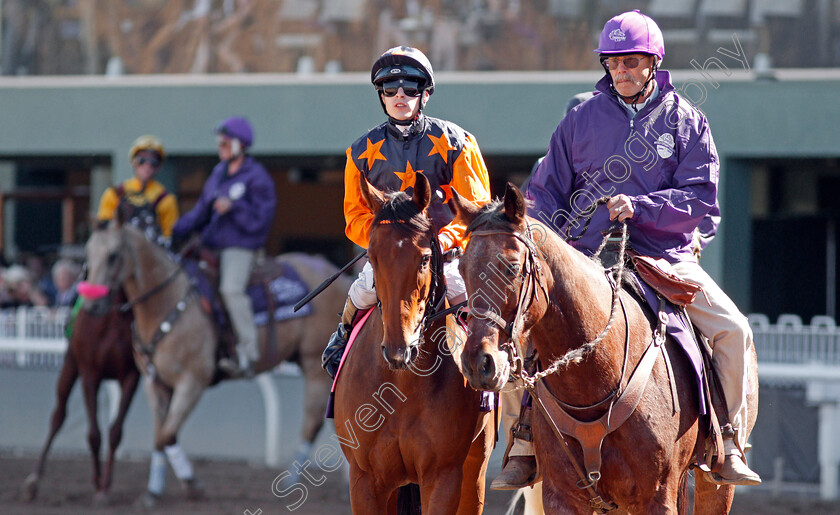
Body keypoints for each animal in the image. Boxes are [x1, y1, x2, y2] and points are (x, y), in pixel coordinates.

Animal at [20, 298, 139, 504]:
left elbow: (115, 432)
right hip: (70, 364)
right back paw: (33, 481)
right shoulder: (89, 372)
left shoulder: (132, 375)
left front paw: (104, 485)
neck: (112, 316)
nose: (94, 305)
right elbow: (94, 435)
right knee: (58, 416)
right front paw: (98, 483)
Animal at [80, 213, 350, 508]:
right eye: (88, 254)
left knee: (313, 424)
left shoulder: (192, 382)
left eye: (113, 255)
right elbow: (161, 437)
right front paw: (154, 491)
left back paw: (291, 483)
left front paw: (192, 485)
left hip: (314, 366)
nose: (92, 306)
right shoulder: (156, 384)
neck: (168, 302)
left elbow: (166, 435)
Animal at [332, 174, 496, 515]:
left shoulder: (444, 475)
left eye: (424, 258)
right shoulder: (365, 478)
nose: (399, 348)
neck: (400, 385)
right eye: (372, 256)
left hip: (476, 467)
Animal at [452, 185, 760, 515]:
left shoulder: (658, 496)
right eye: (461, 267)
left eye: (511, 266)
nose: (478, 363)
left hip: (714, 482)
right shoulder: (561, 497)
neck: (595, 380)